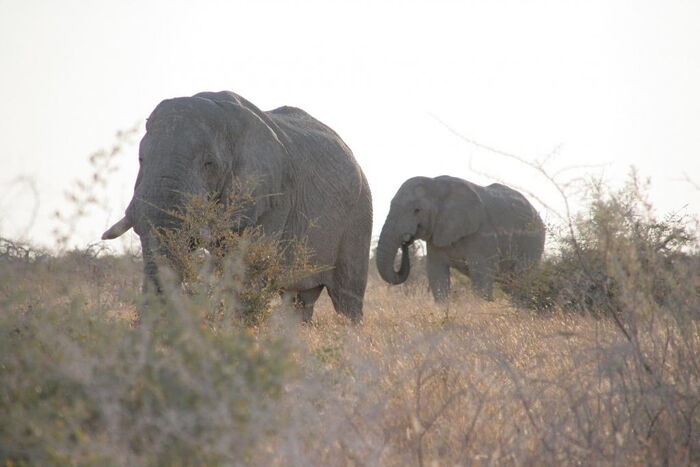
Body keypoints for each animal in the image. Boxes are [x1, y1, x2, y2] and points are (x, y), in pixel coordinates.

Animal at [102, 90, 372, 324]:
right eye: (141, 159)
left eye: (209, 164)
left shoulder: (275, 194)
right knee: (298, 300)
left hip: (360, 213)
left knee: (347, 297)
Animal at [378, 176, 548, 304]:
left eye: (417, 210)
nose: (406, 241)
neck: (436, 185)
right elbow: (436, 273)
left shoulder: (482, 232)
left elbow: (481, 273)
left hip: (533, 240)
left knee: (521, 277)